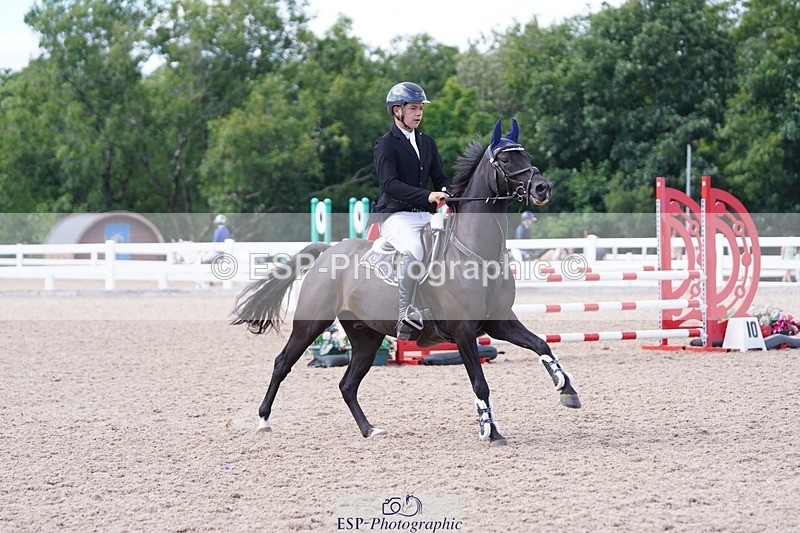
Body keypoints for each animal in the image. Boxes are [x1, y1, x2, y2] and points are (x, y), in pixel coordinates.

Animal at [232, 119, 581, 446]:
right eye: (506, 160)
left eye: (528, 156)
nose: (543, 188)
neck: (477, 253)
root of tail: (328, 251)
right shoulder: (464, 331)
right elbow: (480, 383)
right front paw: (490, 431)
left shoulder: (500, 323)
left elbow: (542, 344)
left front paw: (567, 389)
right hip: (311, 323)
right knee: (283, 363)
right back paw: (263, 420)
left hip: (366, 336)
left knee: (347, 384)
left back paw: (370, 429)